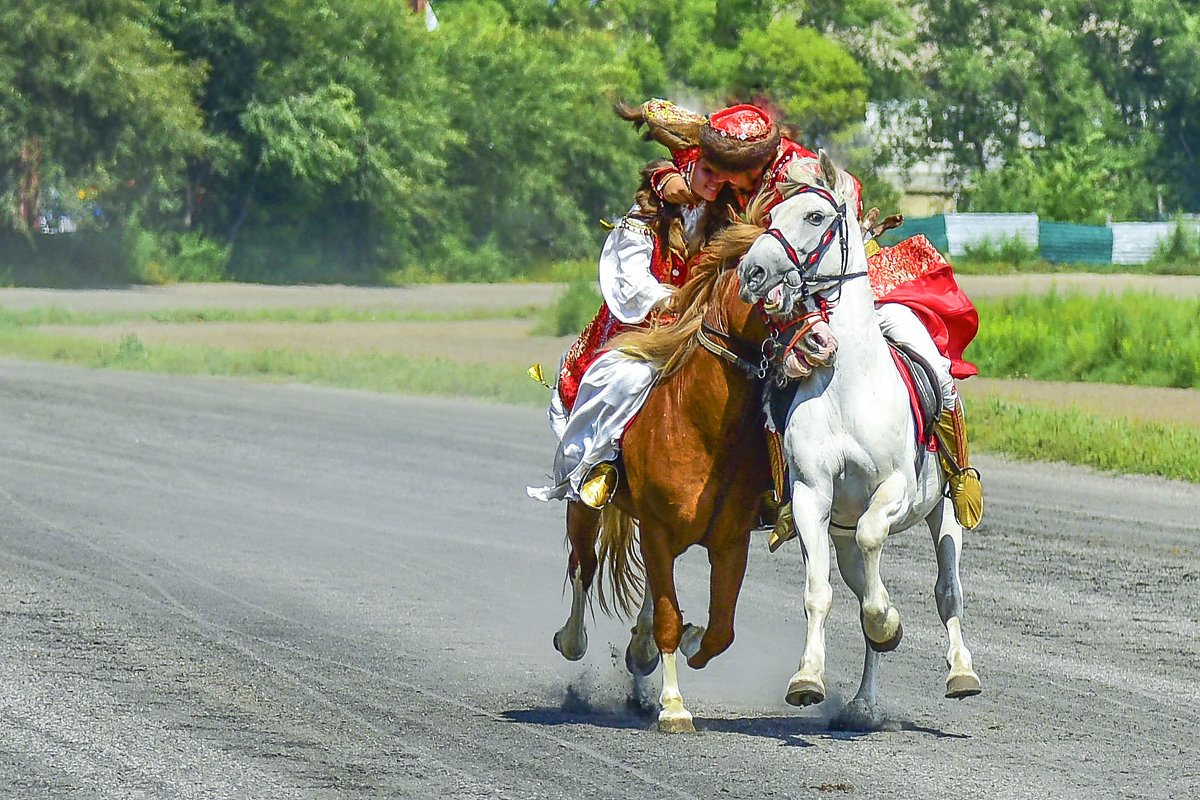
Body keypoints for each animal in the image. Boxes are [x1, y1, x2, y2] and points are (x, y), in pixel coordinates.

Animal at [552, 200, 835, 734]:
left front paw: (685, 643)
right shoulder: (659, 531)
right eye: (766, 285)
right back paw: (572, 639)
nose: (823, 344)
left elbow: (719, 629)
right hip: (586, 501)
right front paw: (673, 706)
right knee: (584, 564)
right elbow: (667, 615)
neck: (698, 427)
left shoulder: (730, 542)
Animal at [734, 151, 979, 724]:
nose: (752, 271)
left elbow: (875, 545)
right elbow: (819, 591)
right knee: (859, 579)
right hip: (839, 532)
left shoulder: (894, 489)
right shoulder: (811, 496)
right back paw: (865, 703)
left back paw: (961, 672)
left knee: (947, 590)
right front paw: (807, 677)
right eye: (772, 215)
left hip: (944, 512)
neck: (848, 385)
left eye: (815, 217)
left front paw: (888, 620)